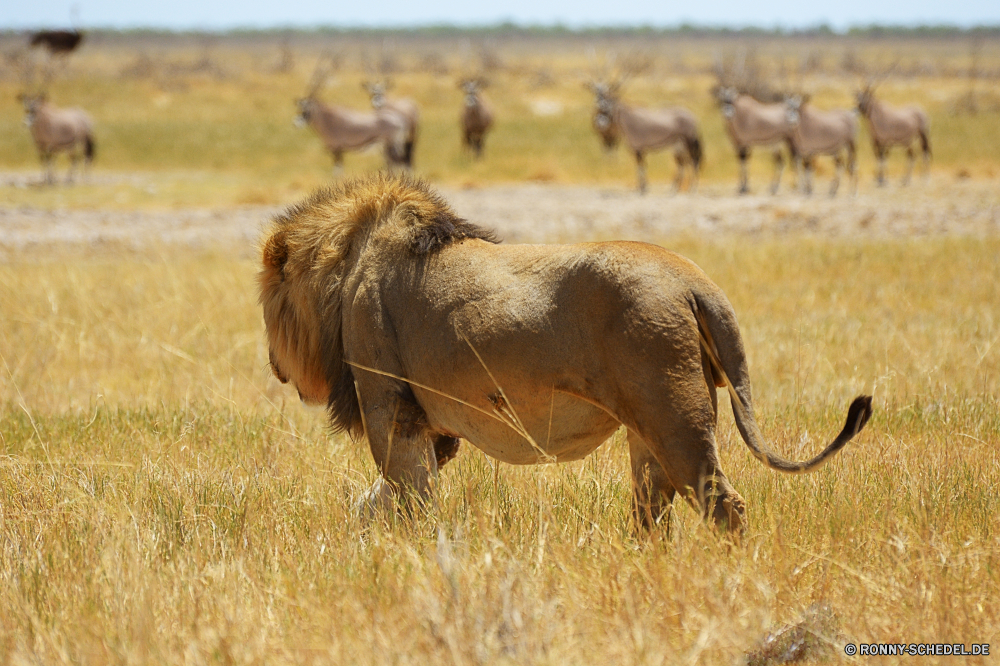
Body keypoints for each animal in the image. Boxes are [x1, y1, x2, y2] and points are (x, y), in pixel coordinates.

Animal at [260, 172, 876, 536]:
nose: (273, 364)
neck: (344, 273)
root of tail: (694, 282)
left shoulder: (391, 409)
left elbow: (409, 496)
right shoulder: (434, 427)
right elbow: (385, 496)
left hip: (674, 413)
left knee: (723, 505)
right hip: (650, 428)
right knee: (653, 512)